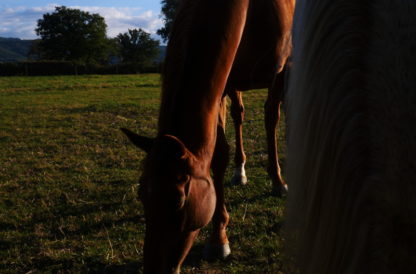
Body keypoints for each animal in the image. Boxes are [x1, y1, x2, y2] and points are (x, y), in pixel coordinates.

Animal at [122, 0, 294, 272]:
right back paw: (240, 171)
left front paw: (278, 182)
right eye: (141, 195)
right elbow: (219, 156)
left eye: (178, 201)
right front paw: (219, 237)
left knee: (270, 117)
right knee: (239, 115)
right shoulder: (221, 85)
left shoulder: (280, 71)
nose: (153, 268)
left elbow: (271, 119)